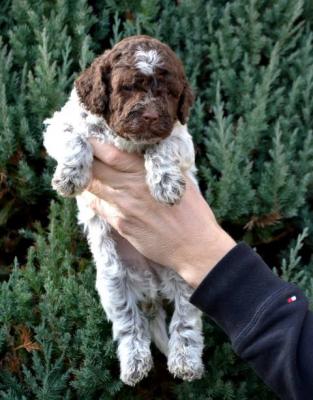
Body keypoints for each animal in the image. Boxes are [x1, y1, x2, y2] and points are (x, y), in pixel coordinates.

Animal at [44, 36, 205, 386]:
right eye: (128, 87)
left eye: (170, 93)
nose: (150, 116)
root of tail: (152, 289)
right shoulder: (61, 123)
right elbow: (74, 137)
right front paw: (71, 175)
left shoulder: (180, 136)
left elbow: (164, 143)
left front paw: (166, 183)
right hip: (112, 283)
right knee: (130, 324)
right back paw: (135, 364)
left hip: (187, 277)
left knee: (185, 321)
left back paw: (185, 361)